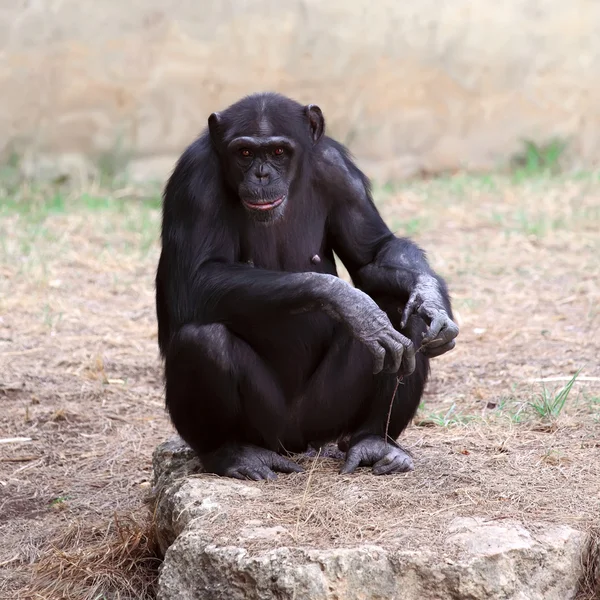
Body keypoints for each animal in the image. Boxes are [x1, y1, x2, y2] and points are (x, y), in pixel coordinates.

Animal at [156, 91, 460, 480]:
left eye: (278, 152)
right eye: (244, 152)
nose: (262, 174)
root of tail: (300, 445)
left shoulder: (340, 173)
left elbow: (374, 254)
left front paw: (429, 294)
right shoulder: (195, 180)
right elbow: (194, 279)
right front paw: (353, 306)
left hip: (327, 415)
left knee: (401, 316)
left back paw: (375, 442)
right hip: (270, 426)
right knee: (203, 340)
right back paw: (232, 454)